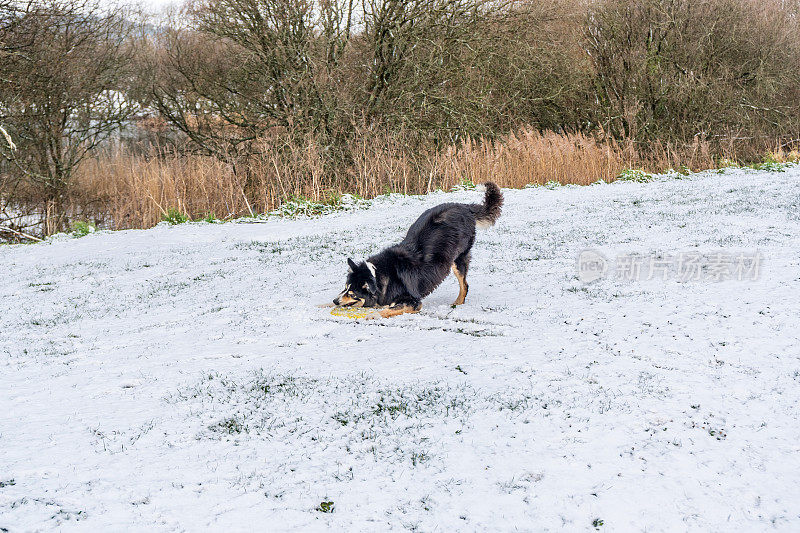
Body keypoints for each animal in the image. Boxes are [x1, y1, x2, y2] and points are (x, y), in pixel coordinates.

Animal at [334, 181, 504, 318]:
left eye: (352, 293)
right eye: (345, 288)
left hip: (458, 259)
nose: (335, 300)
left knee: (464, 285)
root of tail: (464, 207)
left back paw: (457, 303)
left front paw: (373, 315)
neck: (379, 275)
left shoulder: (413, 301)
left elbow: (388, 310)